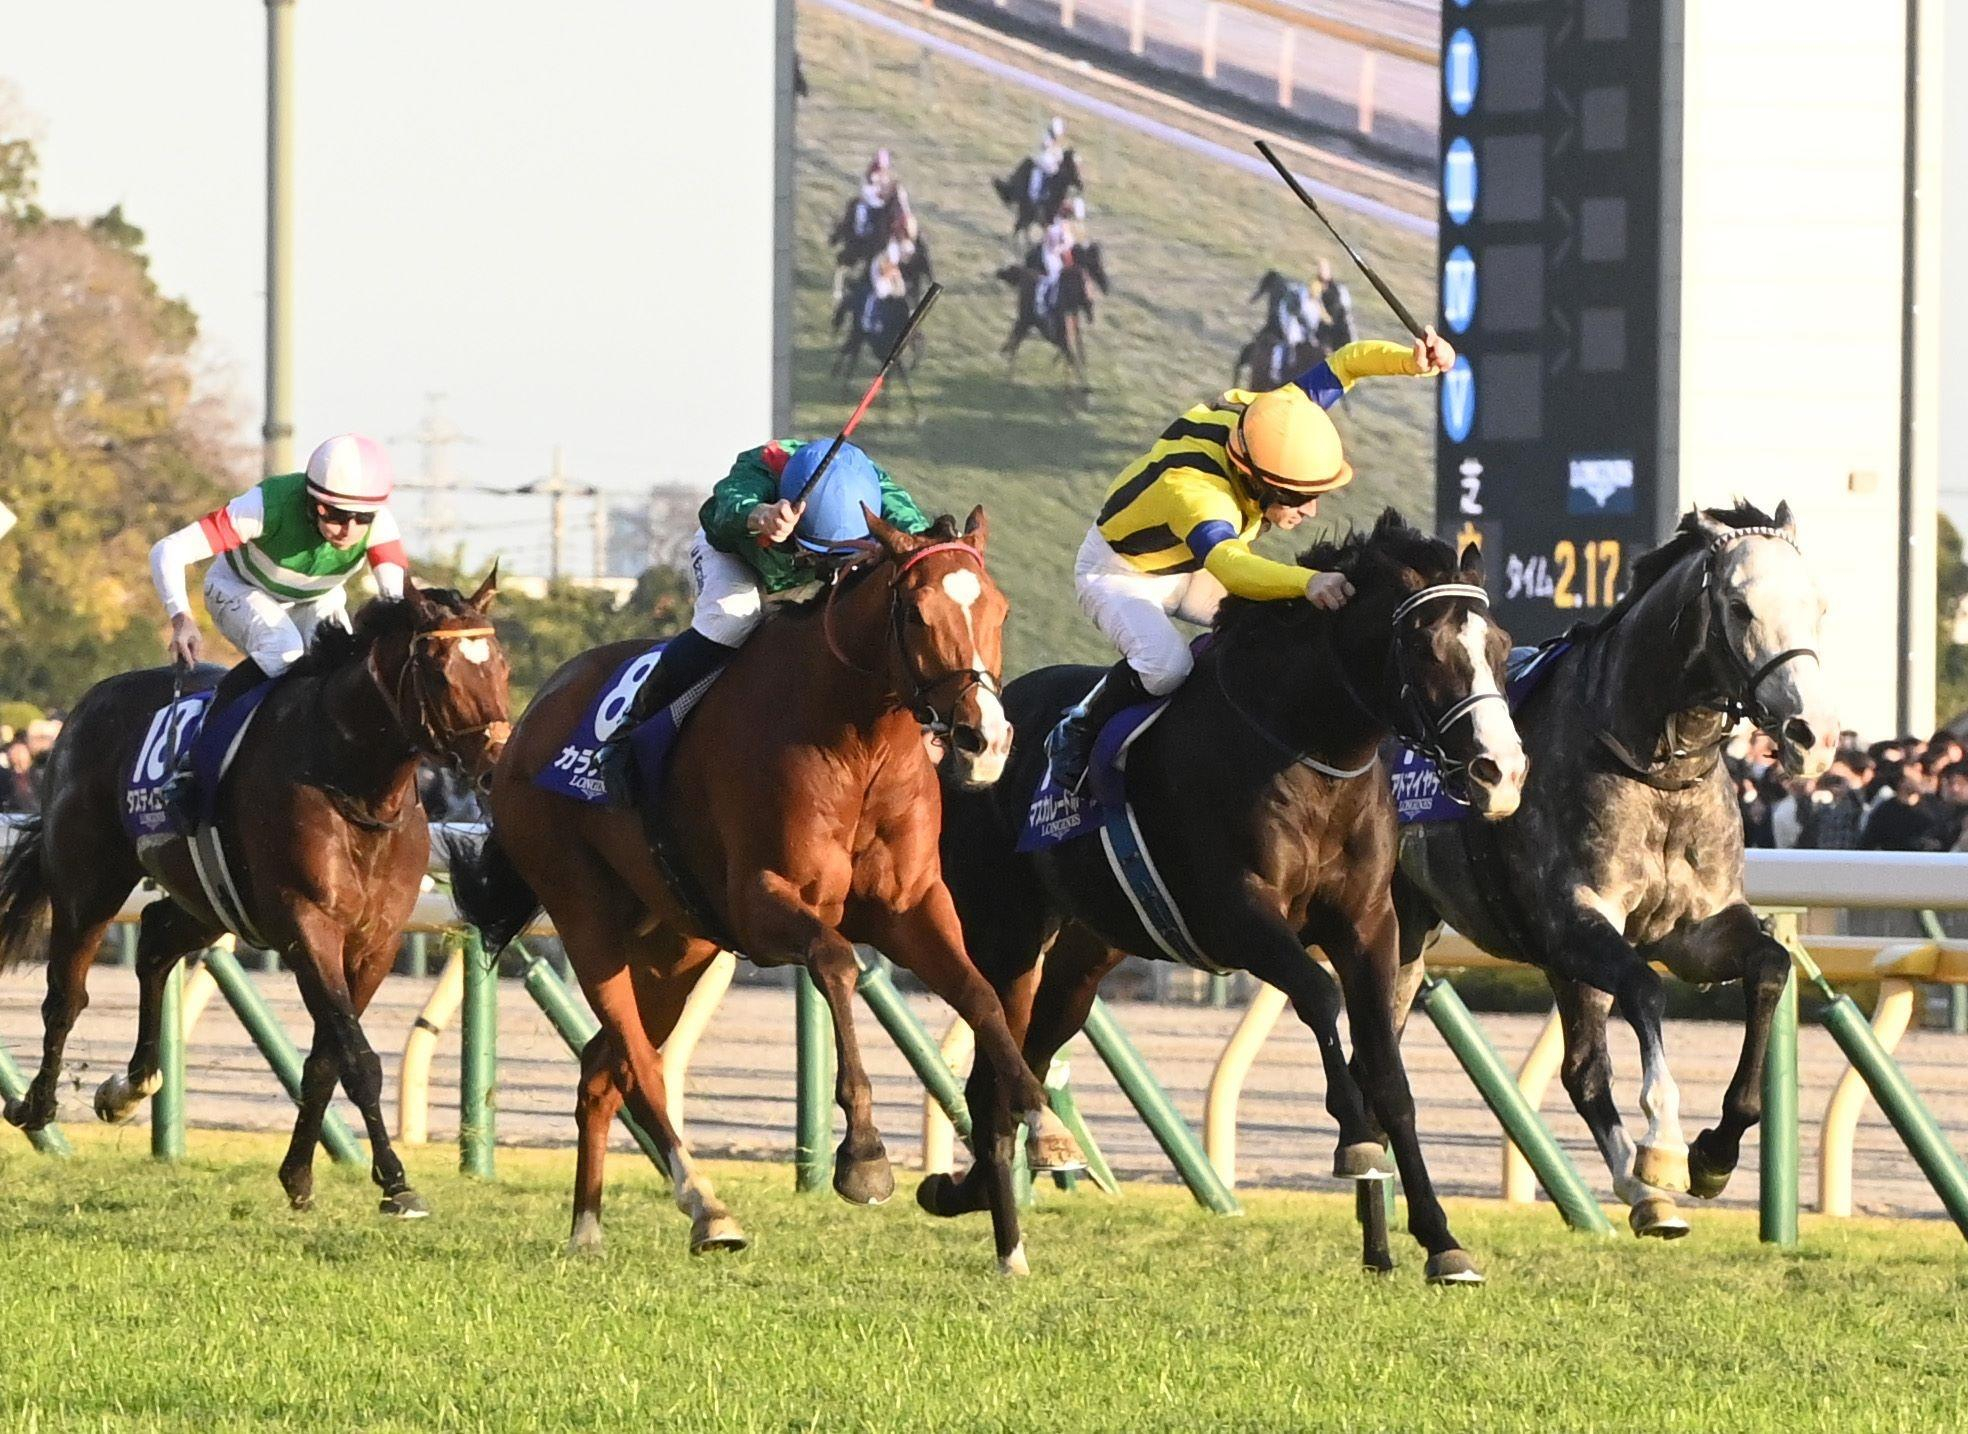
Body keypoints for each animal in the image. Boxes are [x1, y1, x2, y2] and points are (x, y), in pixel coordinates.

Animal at [0, 577, 510, 1215]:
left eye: (502, 665)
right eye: (440, 671)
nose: (496, 763)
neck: (355, 784)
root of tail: (88, 703)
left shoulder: (376, 943)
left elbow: (325, 1060)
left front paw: (299, 1174)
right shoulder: (306, 926)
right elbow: (357, 1059)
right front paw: (396, 1182)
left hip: (213, 901)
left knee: (156, 939)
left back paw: (129, 1086)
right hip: (86, 883)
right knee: (67, 994)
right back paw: (36, 1105)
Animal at [447, 511, 1083, 1276]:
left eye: (999, 609)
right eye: (917, 613)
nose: (984, 739)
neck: (857, 741)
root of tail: (529, 718)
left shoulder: (911, 908)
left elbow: (981, 995)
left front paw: (1044, 1124)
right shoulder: (762, 904)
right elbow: (836, 963)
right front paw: (862, 1156)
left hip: (675, 944)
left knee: (604, 1069)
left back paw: (587, 1228)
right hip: (584, 912)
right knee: (640, 1065)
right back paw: (706, 1205)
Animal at [922, 511, 1530, 1283]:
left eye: (1501, 647)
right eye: (1425, 647)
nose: (1500, 772)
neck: (1309, 749)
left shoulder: (1369, 923)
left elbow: (1388, 1073)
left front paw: (1437, 1240)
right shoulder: (1235, 915)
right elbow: (1318, 996)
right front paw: (1354, 1142)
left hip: (1085, 956)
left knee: (1028, 1054)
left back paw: (987, 1181)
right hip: (1007, 935)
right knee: (991, 1074)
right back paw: (1008, 1245)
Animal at [999, 243, 1109, 389]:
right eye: (1094, 264)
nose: (1106, 286)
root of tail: (1025, 273)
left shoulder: (1072, 334)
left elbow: (1078, 354)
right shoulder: (1061, 338)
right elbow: (1071, 358)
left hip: (1026, 320)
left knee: (1015, 335)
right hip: (1025, 319)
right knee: (1016, 340)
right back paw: (1008, 369)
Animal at [1393, 502, 1836, 1238]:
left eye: (1819, 606)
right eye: (1740, 607)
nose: (1815, 735)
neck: (1655, 770)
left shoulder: (1696, 931)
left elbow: (1771, 967)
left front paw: (1713, 1153)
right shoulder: (1572, 922)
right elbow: (1645, 988)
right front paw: (1665, 1147)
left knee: (1579, 1068)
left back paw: (1642, 1196)